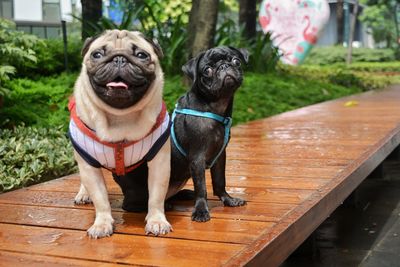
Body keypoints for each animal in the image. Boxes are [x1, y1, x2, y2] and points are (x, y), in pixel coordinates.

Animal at [70, 30, 172, 240]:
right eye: (97, 54)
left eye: (141, 55)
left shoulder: (160, 163)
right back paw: (84, 194)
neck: (120, 116)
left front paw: (157, 220)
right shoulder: (89, 166)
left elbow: (156, 196)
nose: (119, 58)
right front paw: (102, 223)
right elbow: (100, 198)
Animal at [167, 46, 248, 222]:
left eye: (236, 61)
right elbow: (201, 187)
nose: (224, 66)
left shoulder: (220, 156)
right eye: (207, 70)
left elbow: (219, 181)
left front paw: (228, 200)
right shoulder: (197, 157)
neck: (215, 107)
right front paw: (201, 210)